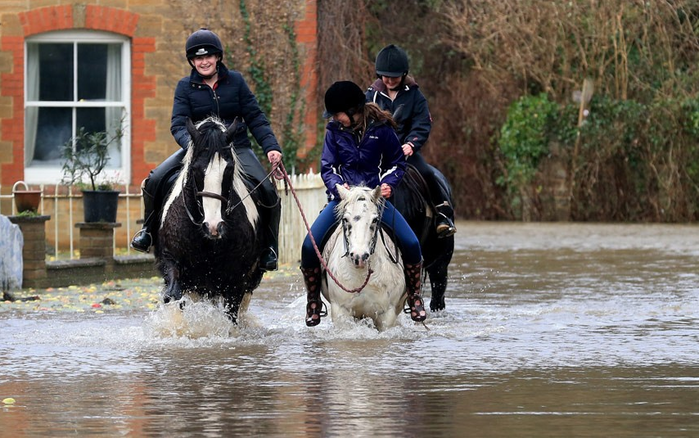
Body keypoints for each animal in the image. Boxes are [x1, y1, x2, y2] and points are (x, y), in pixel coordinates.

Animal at [156, 116, 266, 322]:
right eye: (196, 169)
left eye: (229, 169)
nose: (213, 226)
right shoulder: (173, 262)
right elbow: (174, 294)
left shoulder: (236, 281)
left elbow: (231, 314)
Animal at [322, 183, 408, 330]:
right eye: (345, 219)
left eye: (375, 220)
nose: (359, 257)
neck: (361, 274)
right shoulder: (341, 312)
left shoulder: (387, 315)